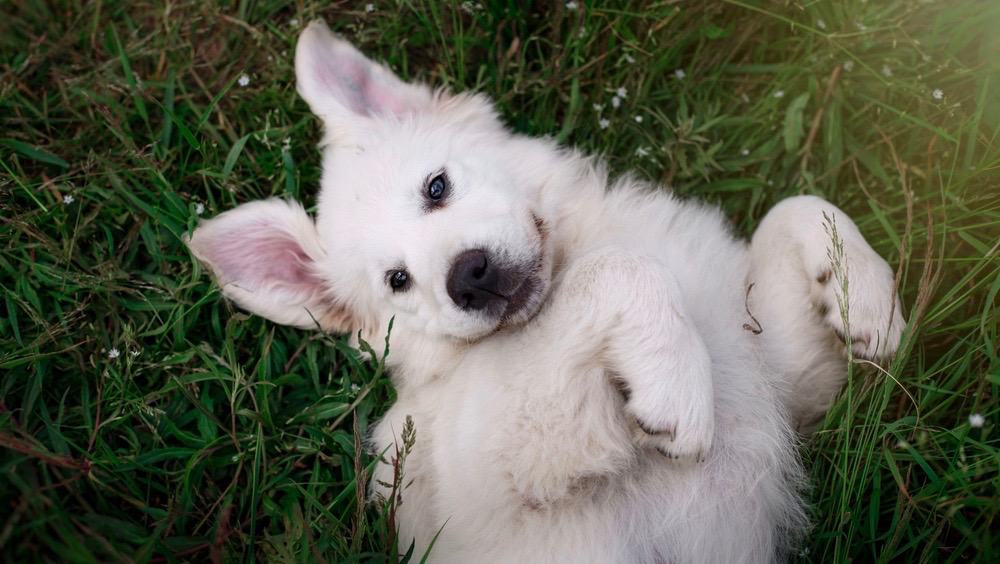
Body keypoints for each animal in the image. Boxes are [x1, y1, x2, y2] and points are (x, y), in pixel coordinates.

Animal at [186, 22, 908, 564]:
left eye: (436, 187)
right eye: (397, 281)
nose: (469, 277)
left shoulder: (773, 372)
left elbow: (798, 205)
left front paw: (868, 299)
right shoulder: (503, 460)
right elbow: (619, 268)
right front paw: (675, 387)